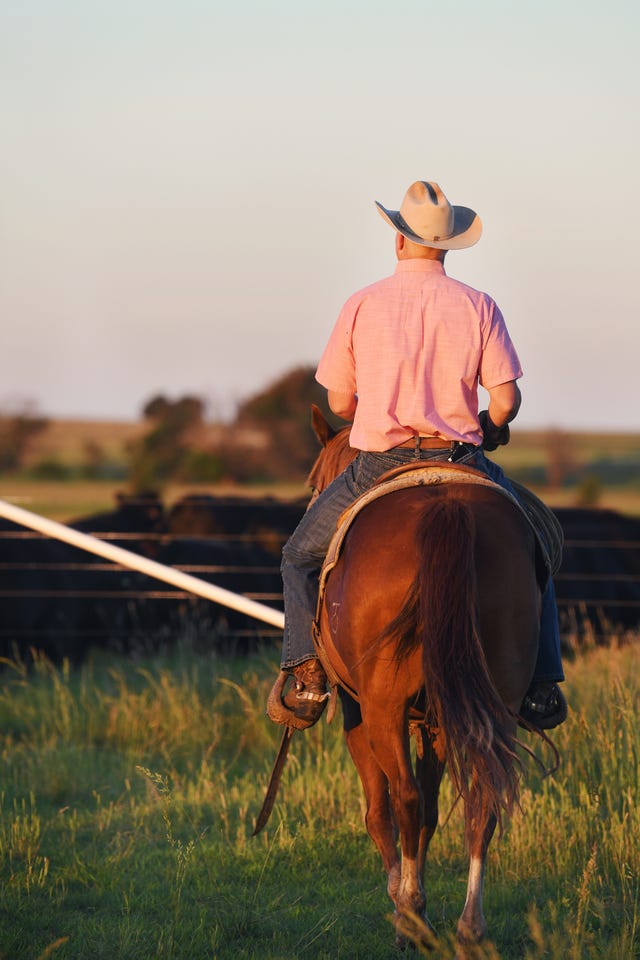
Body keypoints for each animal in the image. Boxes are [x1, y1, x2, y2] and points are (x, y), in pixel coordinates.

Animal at [308, 406, 544, 952]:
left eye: (312, 482)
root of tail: (446, 508)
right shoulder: (435, 720)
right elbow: (435, 811)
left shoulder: (358, 712)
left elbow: (383, 811)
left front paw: (402, 901)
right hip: (496, 703)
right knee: (481, 801)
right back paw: (470, 928)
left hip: (383, 707)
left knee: (404, 799)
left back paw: (412, 919)